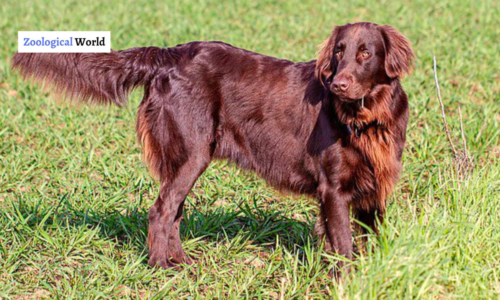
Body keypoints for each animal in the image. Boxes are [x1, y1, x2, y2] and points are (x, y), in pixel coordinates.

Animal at [12, 21, 414, 274]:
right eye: (339, 53)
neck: (367, 118)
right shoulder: (333, 189)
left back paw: (180, 261)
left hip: (186, 156)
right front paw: (347, 281)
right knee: (161, 210)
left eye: (365, 53)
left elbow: (371, 239)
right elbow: (344, 245)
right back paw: (160, 268)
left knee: (173, 210)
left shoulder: (374, 188)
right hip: (192, 151)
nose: (338, 85)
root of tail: (168, 55)